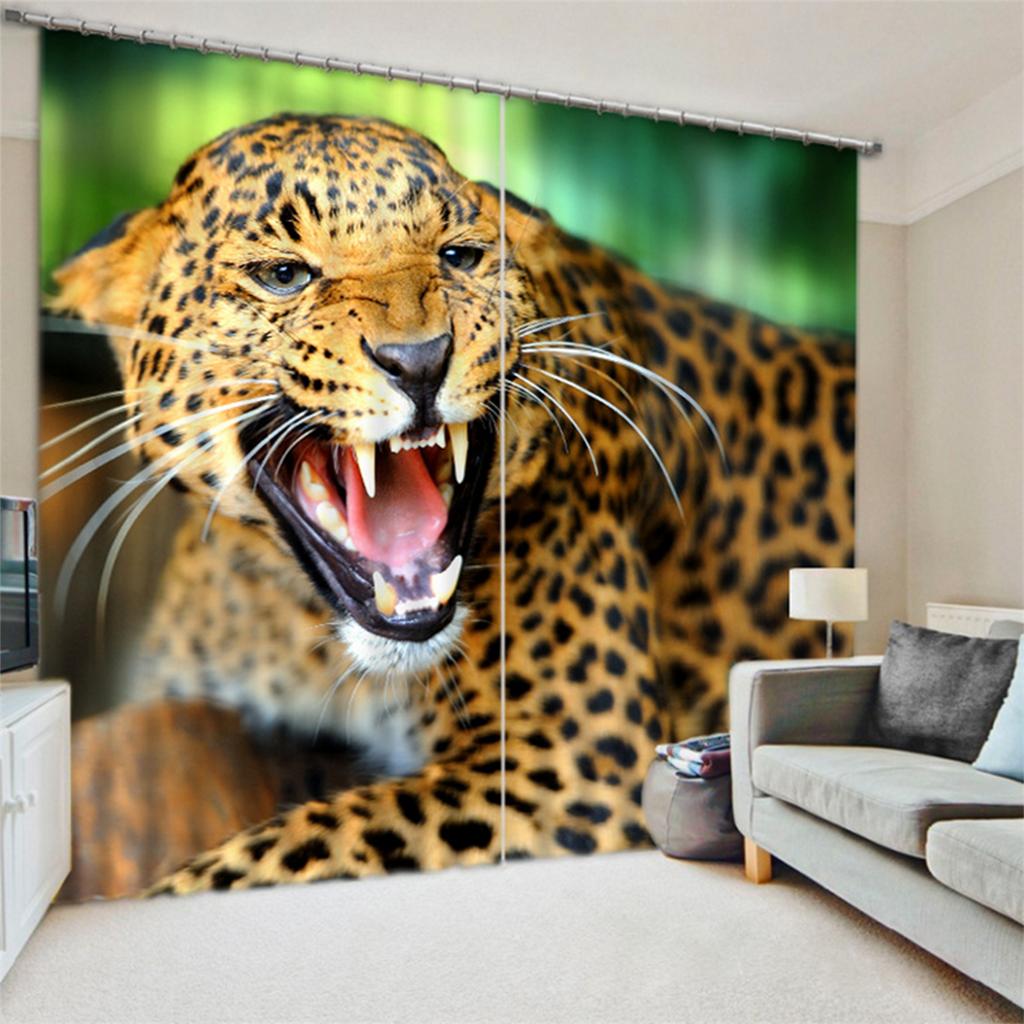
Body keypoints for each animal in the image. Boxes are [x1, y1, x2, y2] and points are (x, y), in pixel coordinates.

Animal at [52, 113, 855, 895]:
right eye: (283, 275)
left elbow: (279, 852)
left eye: (461, 258)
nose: (419, 360)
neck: (304, 630)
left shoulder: (577, 764)